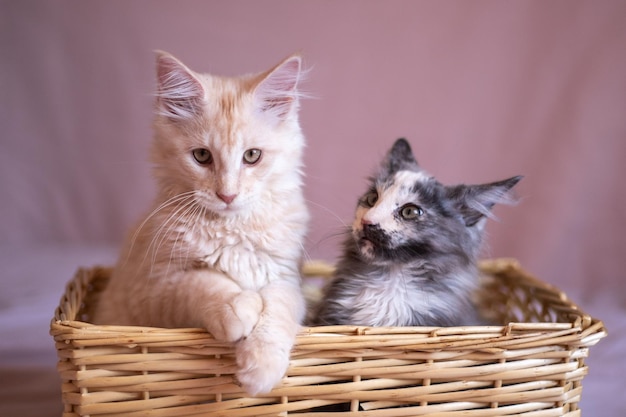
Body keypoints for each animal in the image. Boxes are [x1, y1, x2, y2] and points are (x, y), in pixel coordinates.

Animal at [92, 50, 308, 394]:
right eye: (202, 156)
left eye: (252, 156)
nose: (227, 195)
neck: (230, 230)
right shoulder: (153, 290)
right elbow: (201, 282)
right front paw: (238, 307)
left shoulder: (286, 277)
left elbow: (279, 309)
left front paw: (261, 368)